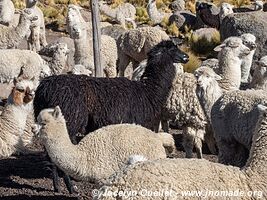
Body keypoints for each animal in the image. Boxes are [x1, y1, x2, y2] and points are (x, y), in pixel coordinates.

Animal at [36, 106, 177, 184]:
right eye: (37, 120)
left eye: (43, 123)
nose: (32, 128)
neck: (84, 155)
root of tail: (156, 137)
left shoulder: (104, 177)